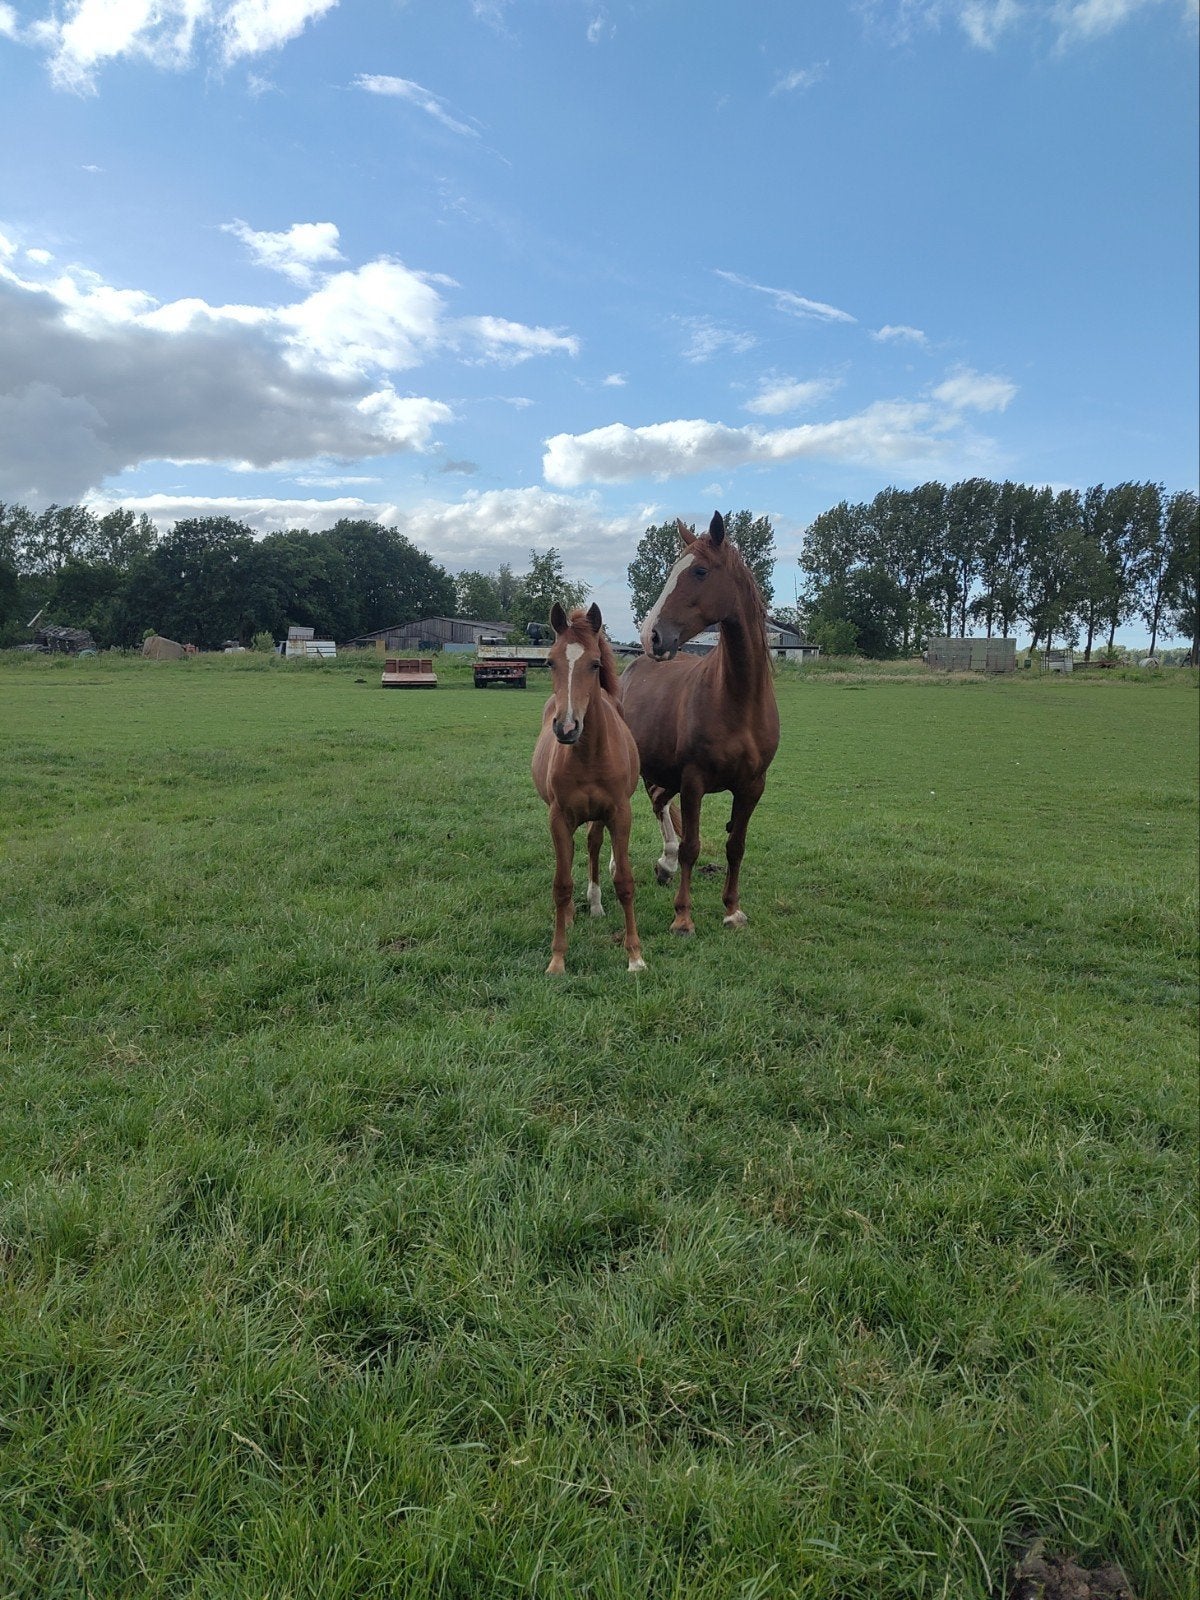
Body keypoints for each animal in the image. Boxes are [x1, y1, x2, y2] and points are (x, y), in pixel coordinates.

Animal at [531, 603, 646, 975]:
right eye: (550, 662)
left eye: (594, 664)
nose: (567, 727)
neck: (590, 754)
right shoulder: (558, 817)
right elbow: (561, 884)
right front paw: (557, 957)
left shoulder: (620, 814)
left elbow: (624, 881)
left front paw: (635, 955)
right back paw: (570, 914)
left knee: (594, 845)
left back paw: (595, 904)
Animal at [620, 511, 780, 936]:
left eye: (700, 572)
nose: (652, 636)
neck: (737, 700)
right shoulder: (694, 781)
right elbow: (693, 846)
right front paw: (683, 917)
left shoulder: (752, 787)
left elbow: (735, 846)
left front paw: (732, 910)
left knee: (659, 801)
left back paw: (665, 863)